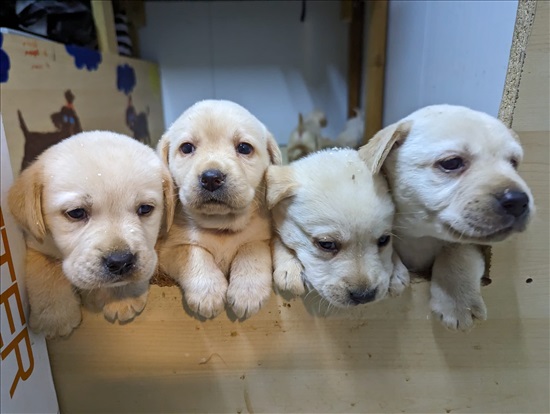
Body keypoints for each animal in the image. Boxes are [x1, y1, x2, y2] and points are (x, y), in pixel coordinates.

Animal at [8, 131, 175, 338]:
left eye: (145, 209)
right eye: (76, 213)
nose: (121, 262)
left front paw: (122, 296)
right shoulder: (35, 241)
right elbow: (44, 268)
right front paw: (54, 316)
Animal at [157, 100, 282, 320]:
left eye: (244, 147)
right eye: (186, 148)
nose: (211, 178)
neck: (220, 227)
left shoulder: (262, 238)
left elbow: (251, 249)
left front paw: (248, 290)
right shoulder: (169, 250)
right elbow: (194, 253)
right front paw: (208, 290)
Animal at [266, 149, 412, 308]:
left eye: (384, 240)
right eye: (326, 244)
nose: (364, 296)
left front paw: (397, 270)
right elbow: (276, 238)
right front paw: (290, 266)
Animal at [360, 105, 536, 332]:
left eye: (514, 163)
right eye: (452, 163)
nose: (518, 200)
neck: (421, 236)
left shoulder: (472, 244)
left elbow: (457, 251)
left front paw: (458, 302)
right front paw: (390, 269)